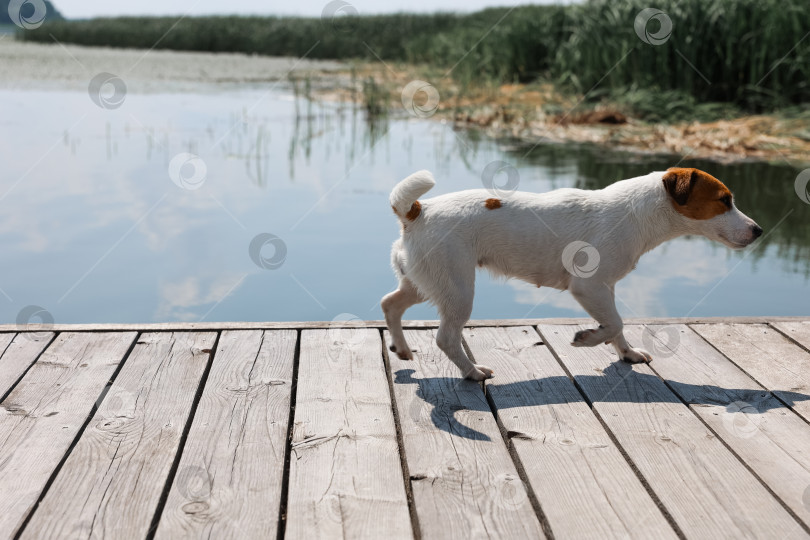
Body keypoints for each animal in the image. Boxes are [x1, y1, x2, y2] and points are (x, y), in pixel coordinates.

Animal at [382, 167, 760, 382]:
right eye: (724, 200)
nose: (758, 230)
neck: (636, 213)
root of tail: (417, 211)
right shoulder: (589, 287)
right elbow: (615, 323)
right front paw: (588, 338)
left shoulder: (605, 288)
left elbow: (618, 327)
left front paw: (627, 353)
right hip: (458, 290)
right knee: (446, 338)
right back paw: (472, 372)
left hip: (424, 283)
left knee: (390, 303)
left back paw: (401, 348)